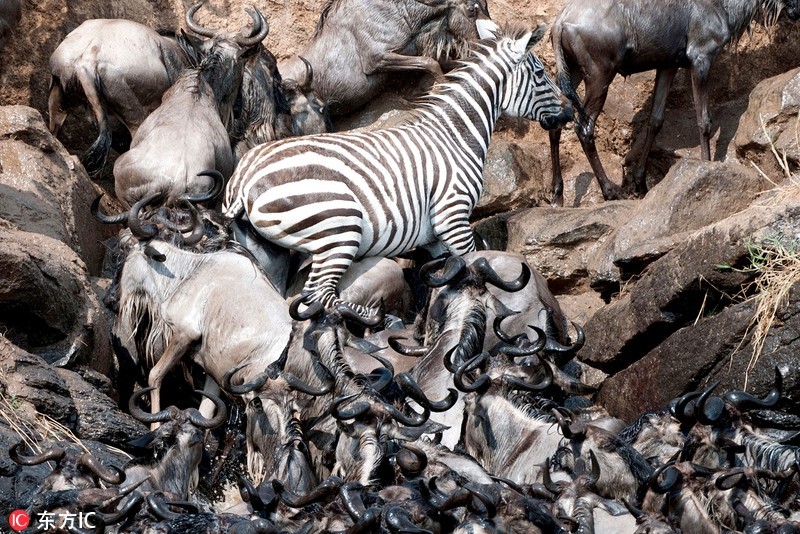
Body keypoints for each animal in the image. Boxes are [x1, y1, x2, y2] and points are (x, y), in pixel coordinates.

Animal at [222, 19, 572, 314]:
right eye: (540, 74)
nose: (568, 112)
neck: (455, 135)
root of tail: (244, 176)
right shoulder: (453, 216)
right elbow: (475, 266)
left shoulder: (433, 237)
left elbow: (442, 281)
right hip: (338, 228)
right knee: (321, 297)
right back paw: (365, 320)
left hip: (270, 253)